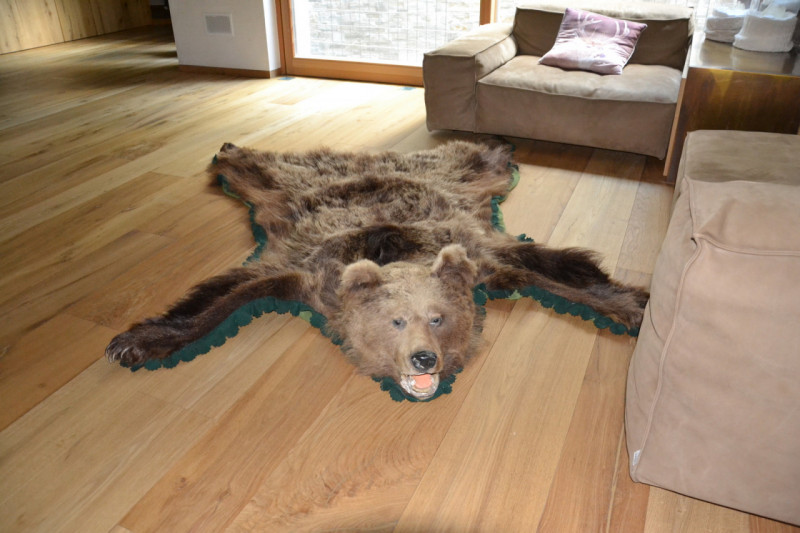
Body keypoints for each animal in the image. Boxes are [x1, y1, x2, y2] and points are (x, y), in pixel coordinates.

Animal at [105, 140, 648, 400]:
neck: (392, 251)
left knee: (474, 159)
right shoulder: (302, 268)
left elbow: (558, 271)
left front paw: (633, 304)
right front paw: (138, 340)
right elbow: (224, 296)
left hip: (463, 180)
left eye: (439, 319)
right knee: (257, 167)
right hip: (277, 185)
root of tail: (375, 156)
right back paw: (230, 149)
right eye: (395, 322)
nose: (425, 360)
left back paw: (501, 147)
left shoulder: (480, 255)